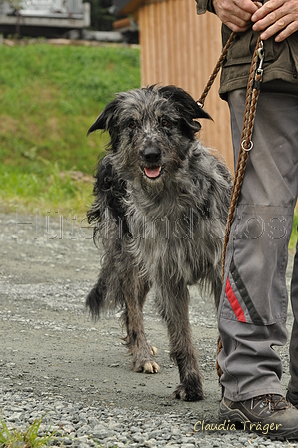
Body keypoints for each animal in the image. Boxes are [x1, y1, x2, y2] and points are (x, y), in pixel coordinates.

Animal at [85, 86, 232, 400]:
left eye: (166, 121)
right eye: (131, 124)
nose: (150, 154)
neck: (172, 197)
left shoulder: (219, 269)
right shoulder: (167, 275)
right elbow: (181, 337)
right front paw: (191, 385)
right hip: (129, 256)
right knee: (132, 306)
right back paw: (141, 354)